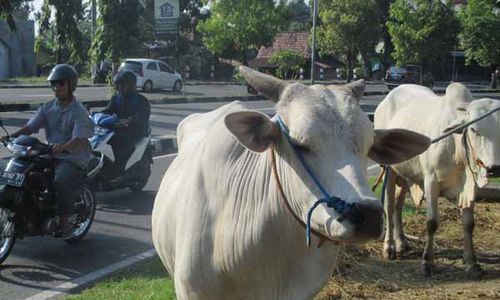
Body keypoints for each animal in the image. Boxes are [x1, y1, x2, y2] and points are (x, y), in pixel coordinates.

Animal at [374, 82, 500, 276]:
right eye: (473, 129)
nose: (494, 168)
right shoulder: (431, 182)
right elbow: (432, 222)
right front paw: (428, 262)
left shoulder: (469, 188)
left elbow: (469, 224)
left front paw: (472, 262)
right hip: (389, 168)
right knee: (388, 204)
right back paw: (390, 247)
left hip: (406, 172)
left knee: (398, 204)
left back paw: (402, 242)